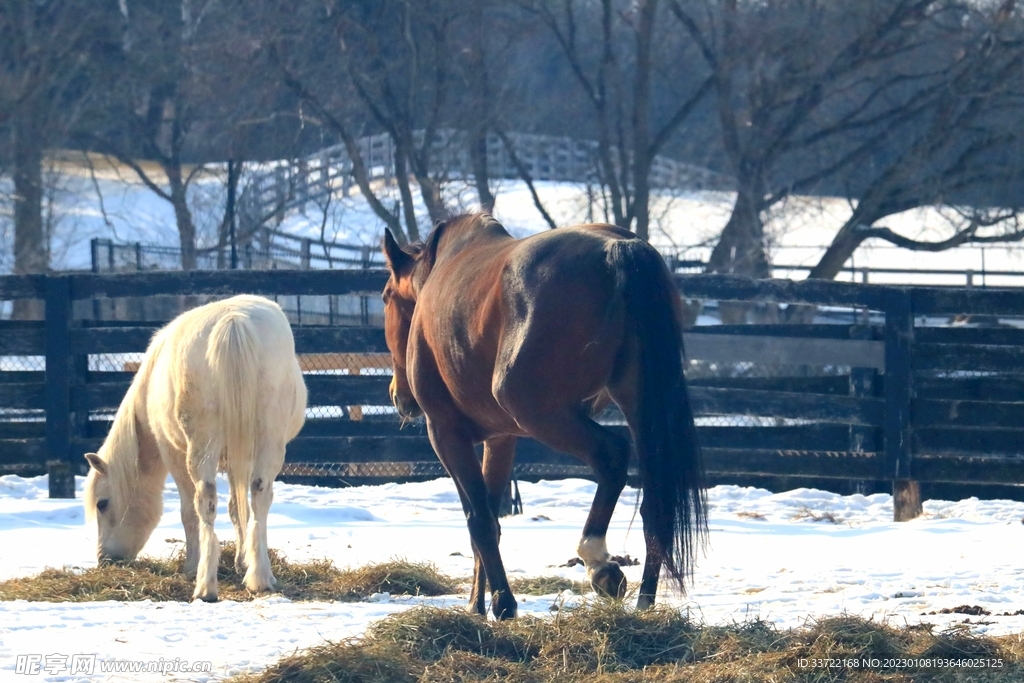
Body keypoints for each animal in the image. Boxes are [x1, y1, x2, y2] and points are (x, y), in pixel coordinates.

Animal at [84, 295, 307, 602]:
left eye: (102, 503)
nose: (104, 560)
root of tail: (233, 321)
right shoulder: (240, 458)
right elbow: (238, 508)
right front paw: (242, 563)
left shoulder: (173, 453)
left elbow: (189, 512)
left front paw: (193, 566)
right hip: (267, 442)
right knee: (259, 495)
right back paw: (260, 578)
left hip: (199, 449)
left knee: (203, 500)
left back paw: (204, 585)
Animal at [382, 212, 706, 620]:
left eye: (386, 298)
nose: (398, 395)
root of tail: (620, 249)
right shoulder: (501, 439)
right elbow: (491, 519)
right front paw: (478, 602)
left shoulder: (444, 433)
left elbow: (479, 521)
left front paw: (499, 604)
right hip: (639, 407)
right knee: (655, 504)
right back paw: (644, 603)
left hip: (542, 414)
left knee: (612, 455)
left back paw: (598, 562)